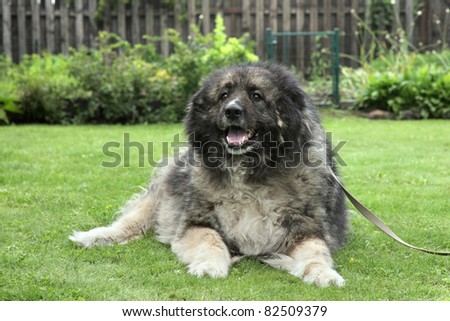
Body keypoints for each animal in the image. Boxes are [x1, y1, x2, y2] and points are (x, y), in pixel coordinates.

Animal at [70, 62, 348, 284]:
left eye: (256, 95)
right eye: (224, 95)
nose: (232, 110)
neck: (248, 171)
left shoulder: (307, 230)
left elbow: (317, 252)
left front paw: (324, 274)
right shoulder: (196, 222)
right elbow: (211, 241)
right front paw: (209, 266)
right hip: (159, 201)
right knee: (128, 223)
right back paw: (93, 237)